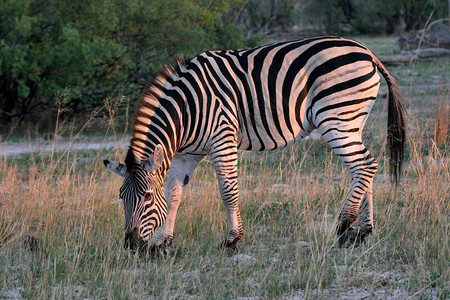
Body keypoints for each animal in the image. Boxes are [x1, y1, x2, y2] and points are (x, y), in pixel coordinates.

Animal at [102, 35, 404, 251]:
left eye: (146, 196)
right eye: (120, 197)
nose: (130, 245)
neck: (187, 111)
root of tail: (367, 51)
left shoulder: (222, 138)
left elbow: (228, 191)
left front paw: (233, 239)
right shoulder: (186, 154)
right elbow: (174, 194)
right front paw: (163, 242)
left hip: (336, 117)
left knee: (365, 166)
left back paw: (344, 225)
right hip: (352, 120)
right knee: (362, 170)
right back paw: (361, 232)